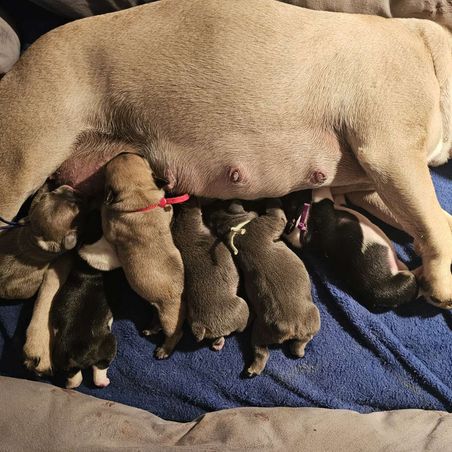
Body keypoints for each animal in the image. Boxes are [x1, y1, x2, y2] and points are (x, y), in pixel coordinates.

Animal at [210, 199, 320, 377]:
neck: (236, 228)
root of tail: (287, 328)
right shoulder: (272, 221)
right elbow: (278, 214)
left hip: (259, 332)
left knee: (261, 352)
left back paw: (253, 369)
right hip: (313, 317)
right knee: (303, 340)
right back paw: (300, 351)